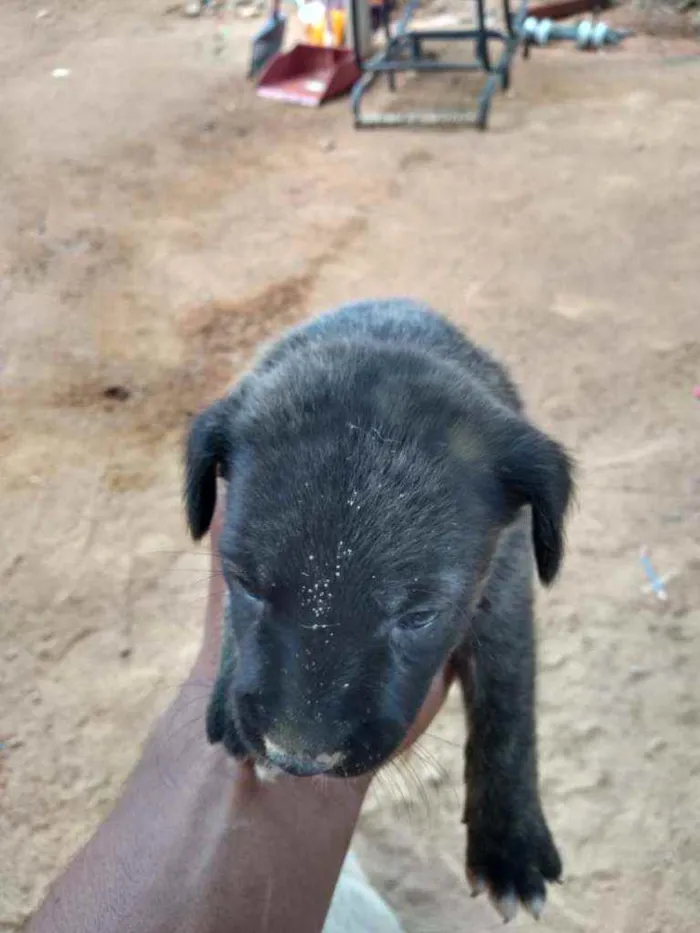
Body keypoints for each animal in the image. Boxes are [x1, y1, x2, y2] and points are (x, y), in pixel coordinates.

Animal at [186, 298, 576, 916]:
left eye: (418, 617)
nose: (298, 759)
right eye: (247, 584)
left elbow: (509, 703)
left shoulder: (507, 583)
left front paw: (511, 844)